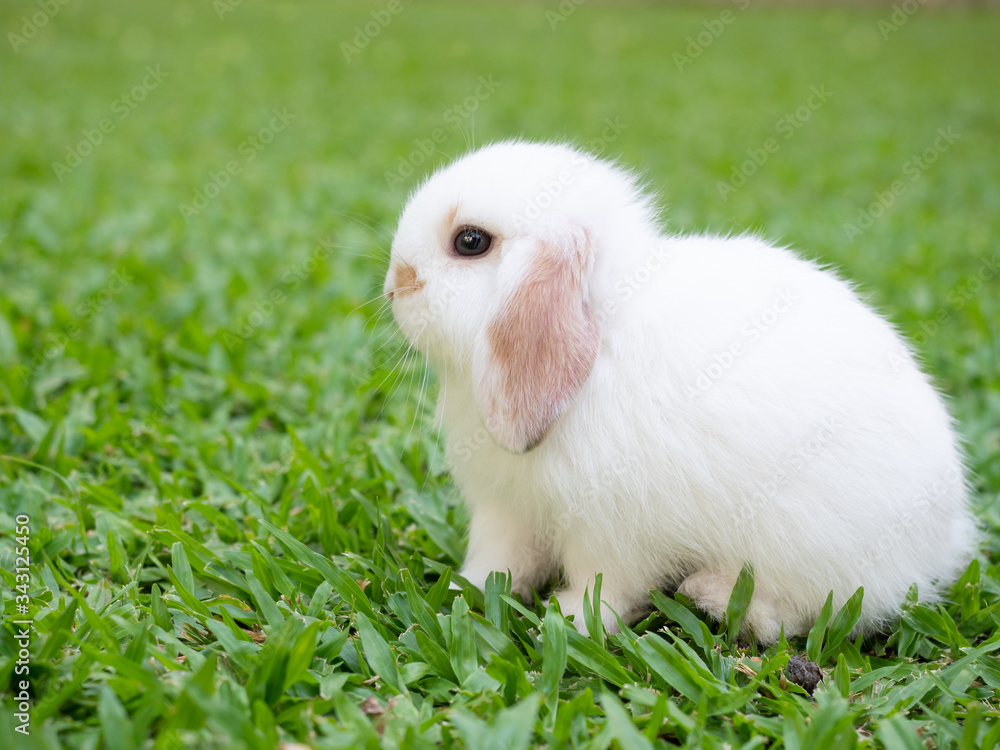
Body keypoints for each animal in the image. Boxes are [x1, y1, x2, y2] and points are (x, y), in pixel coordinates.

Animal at [383, 140, 977, 642]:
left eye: (470, 241)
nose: (394, 284)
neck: (601, 339)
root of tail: (944, 539)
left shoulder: (609, 531)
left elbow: (606, 585)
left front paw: (568, 621)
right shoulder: (505, 511)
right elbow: (498, 561)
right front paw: (465, 591)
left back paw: (712, 596)